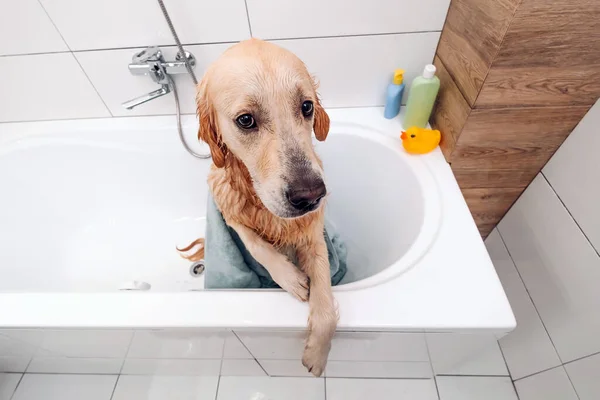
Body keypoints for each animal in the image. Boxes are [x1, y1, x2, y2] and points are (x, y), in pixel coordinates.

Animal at [188, 39, 336, 376]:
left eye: (306, 107)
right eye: (246, 120)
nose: (311, 195)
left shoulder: (313, 232)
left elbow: (326, 304)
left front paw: (317, 354)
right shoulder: (228, 208)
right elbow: (256, 245)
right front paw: (292, 278)